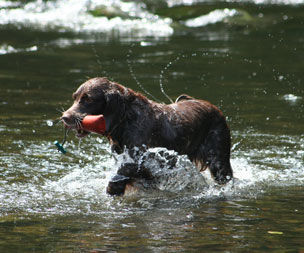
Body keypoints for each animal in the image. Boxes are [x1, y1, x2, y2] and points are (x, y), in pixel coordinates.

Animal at [61, 77, 233, 196]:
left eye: (88, 99)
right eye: (75, 98)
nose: (64, 117)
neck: (126, 119)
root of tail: (214, 108)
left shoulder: (146, 159)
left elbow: (124, 172)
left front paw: (114, 187)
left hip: (219, 161)